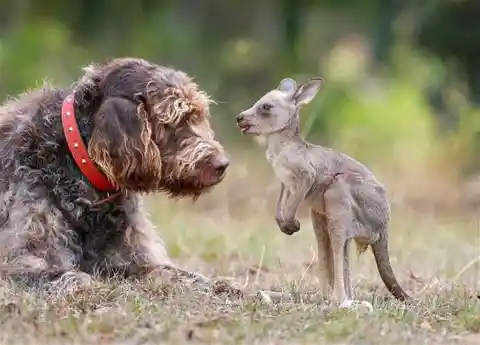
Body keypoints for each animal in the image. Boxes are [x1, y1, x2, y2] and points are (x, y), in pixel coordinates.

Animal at [0, 56, 236, 292]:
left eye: (198, 116)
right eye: (176, 120)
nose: (222, 164)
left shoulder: (136, 260)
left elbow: (183, 275)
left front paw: (224, 286)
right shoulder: (21, 262)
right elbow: (73, 277)